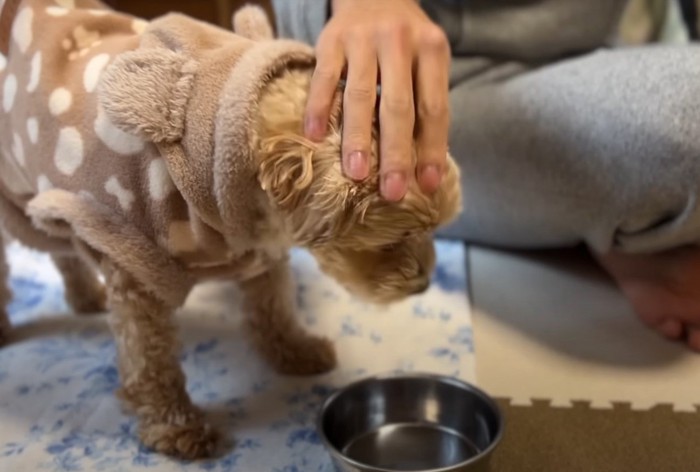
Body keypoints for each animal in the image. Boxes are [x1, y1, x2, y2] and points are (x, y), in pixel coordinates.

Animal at [0, 0, 460, 458]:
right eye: (395, 240)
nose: (423, 284)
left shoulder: (259, 248)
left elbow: (273, 305)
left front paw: (295, 351)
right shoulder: (133, 262)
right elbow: (149, 358)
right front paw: (177, 426)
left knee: (60, 246)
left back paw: (85, 296)